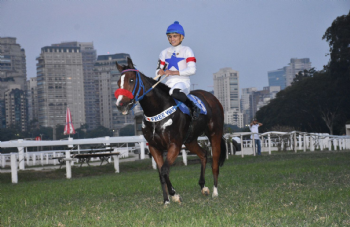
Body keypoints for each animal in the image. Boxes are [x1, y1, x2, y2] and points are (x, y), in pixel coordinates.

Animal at [113, 56, 226, 204]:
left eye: (131, 80)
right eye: (118, 82)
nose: (121, 105)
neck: (157, 112)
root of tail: (211, 97)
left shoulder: (174, 145)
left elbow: (165, 170)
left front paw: (174, 195)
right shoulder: (154, 147)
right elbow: (161, 173)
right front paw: (166, 200)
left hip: (214, 134)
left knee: (215, 163)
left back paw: (215, 191)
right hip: (190, 140)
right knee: (203, 154)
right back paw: (203, 187)